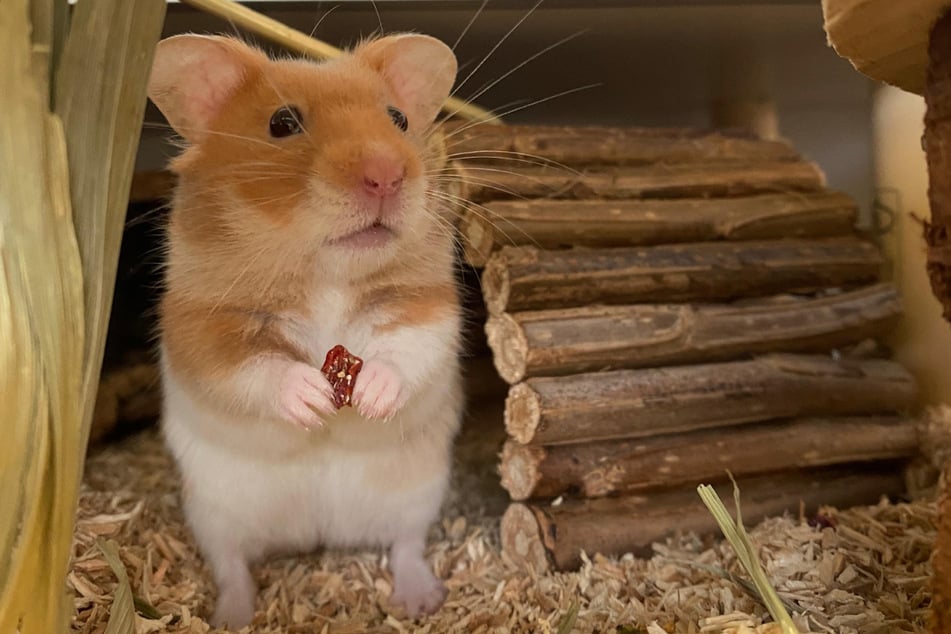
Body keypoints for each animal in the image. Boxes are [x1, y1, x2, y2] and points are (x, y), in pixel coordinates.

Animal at [146, 30, 464, 628]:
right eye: (282, 123)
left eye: (398, 119)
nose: (387, 175)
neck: (325, 273)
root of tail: (319, 533)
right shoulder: (203, 327)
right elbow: (255, 367)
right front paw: (314, 399)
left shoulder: (427, 306)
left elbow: (407, 349)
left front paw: (369, 395)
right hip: (212, 513)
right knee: (232, 565)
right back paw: (232, 617)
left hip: (418, 493)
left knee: (406, 545)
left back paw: (419, 600)